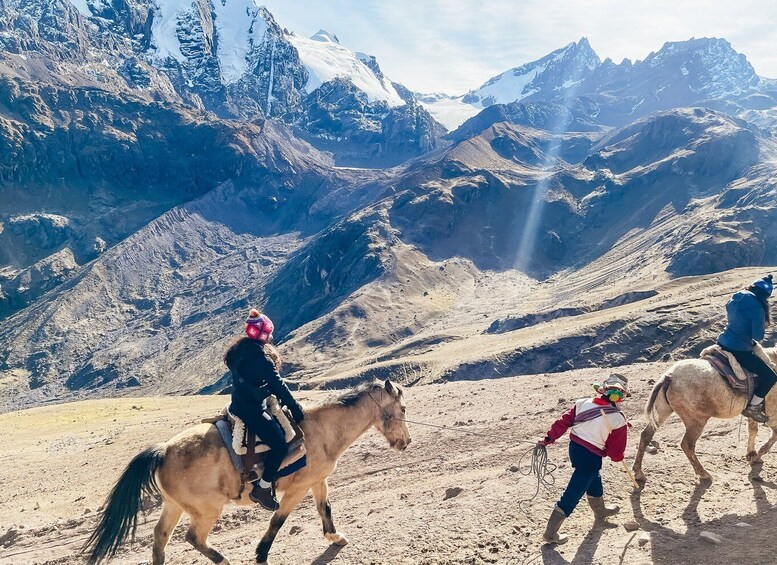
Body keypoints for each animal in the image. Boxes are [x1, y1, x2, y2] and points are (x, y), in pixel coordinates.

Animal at [83, 378, 412, 564]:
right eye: (404, 409)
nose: (406, 442)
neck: (321, 430)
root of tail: (163, 451)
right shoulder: (296, 489)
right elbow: (278, 521)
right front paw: (261, 555)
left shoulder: (317, 481)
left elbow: (325, 509)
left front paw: (336, 537)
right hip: (206, 510)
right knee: (193, 537)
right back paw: (224, 560)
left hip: (174, 506)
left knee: (160, 538)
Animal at [632, 344, 776, 480]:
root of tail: (670, 377)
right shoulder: (772, 415)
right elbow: (773, 435)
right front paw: (756, 457)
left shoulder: (754, 413)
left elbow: (753, 430)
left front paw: (752, 454)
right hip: (696, 421)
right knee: (687, 445)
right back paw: (704, 473)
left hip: (662, 411)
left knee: (646, 435)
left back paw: (638, 472)